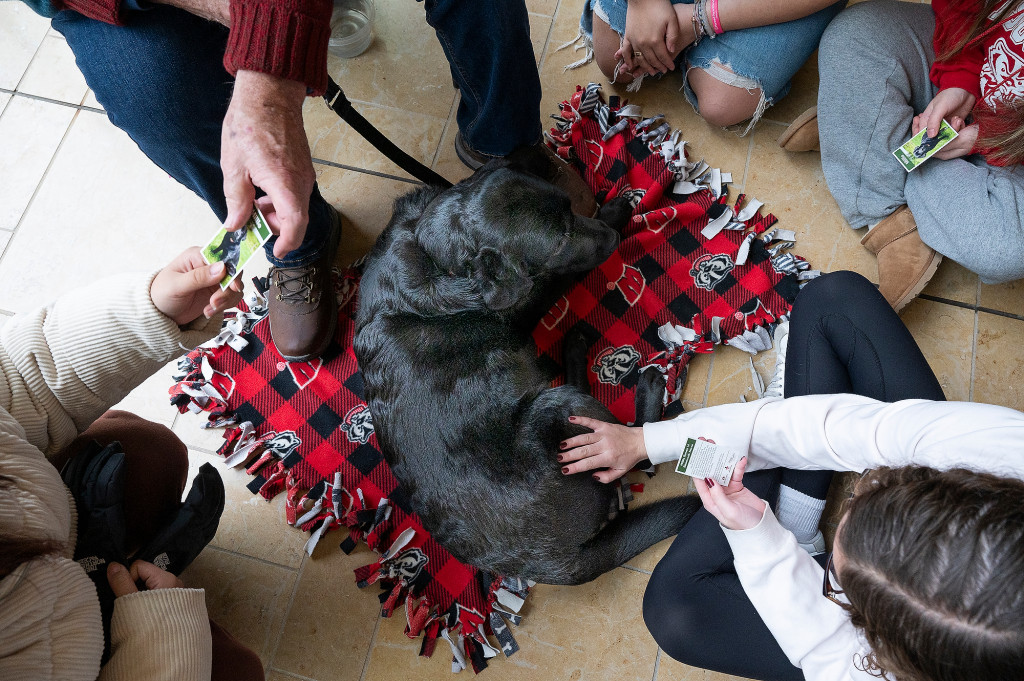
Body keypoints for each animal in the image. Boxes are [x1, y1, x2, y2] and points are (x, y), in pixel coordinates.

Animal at [356, 160, 700, 585]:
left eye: (570, 206)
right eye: (560, 241)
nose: (611, 236)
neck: (432, 253)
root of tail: (553, 565)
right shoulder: (528, 298)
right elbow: (557, 277)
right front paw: (614, 214)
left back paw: (573, 349)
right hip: (563, 407)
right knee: (636, 453)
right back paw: (647, 387)